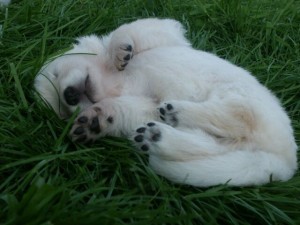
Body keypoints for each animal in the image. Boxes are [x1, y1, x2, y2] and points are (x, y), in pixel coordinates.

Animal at [35, 18, 298, 186]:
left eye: (56, 74)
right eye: (61, 110)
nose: (69, 95)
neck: (114, 83)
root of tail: (285, 162)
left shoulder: (168, 34)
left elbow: (131, 29)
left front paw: (120, 51)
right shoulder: (142, 104)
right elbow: (122, 108)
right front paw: (94, 120)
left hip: (237, 92)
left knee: (241, 115)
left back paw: (175, 115)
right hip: (223, 143)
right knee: (217, 137)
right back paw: (157, 135)